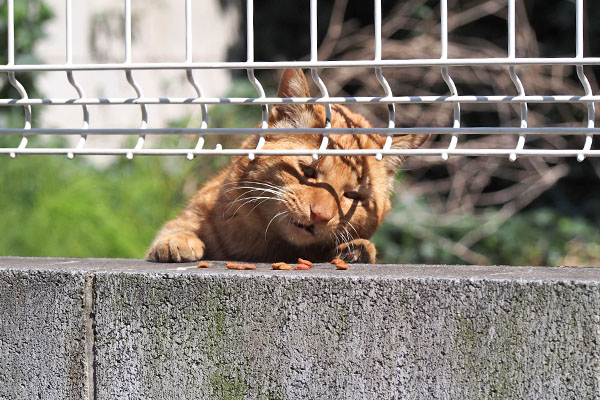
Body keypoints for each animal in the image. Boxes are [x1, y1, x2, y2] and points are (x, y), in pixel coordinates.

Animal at [145, 69, 426, 262]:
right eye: (308, 171)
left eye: (353, 195)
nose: (319, 216)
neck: (268, 249)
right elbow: (177, 227)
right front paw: (177, 241)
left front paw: (356, 249)